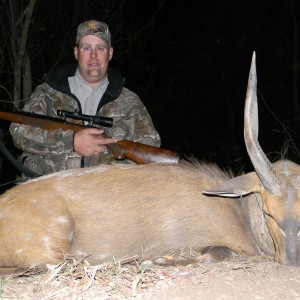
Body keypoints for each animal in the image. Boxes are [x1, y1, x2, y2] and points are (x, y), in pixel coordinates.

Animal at [0, 52, 300, 276]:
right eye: (269, 212)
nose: (292, 262)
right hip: (53, 242)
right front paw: (155, 261)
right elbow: (217, 253)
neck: (239, 213)